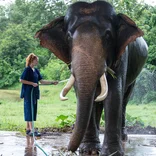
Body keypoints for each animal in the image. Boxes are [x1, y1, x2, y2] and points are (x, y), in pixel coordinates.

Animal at [35, 0, 147, 155]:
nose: (67, 149)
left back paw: (123, 137)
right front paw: (89, 150)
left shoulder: (121, 55)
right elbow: (82, 91)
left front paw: (112, 153)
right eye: (68, 37)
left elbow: (114, 94)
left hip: (135, 76)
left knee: (124, 99)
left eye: (108, 36)